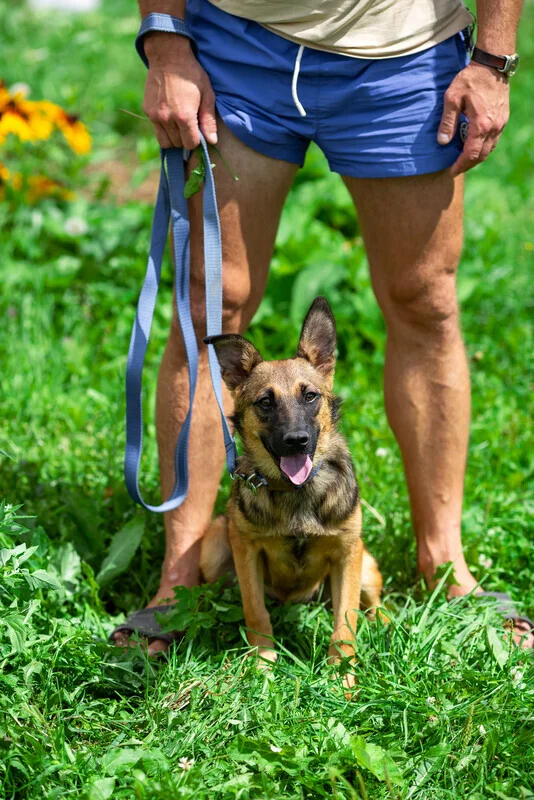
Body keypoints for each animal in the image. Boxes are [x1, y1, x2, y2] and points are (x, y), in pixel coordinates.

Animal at [200, 296, 382, 684]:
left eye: (310, 396)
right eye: (265, 402)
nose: (296, 441)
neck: (296, 493)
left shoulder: (348, 553)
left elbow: (345, 623)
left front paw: (341, 677)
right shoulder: (246, 550)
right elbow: (255, 611)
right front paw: (262, 661)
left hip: (366, 563)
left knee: (374, 603)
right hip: (215, 546)